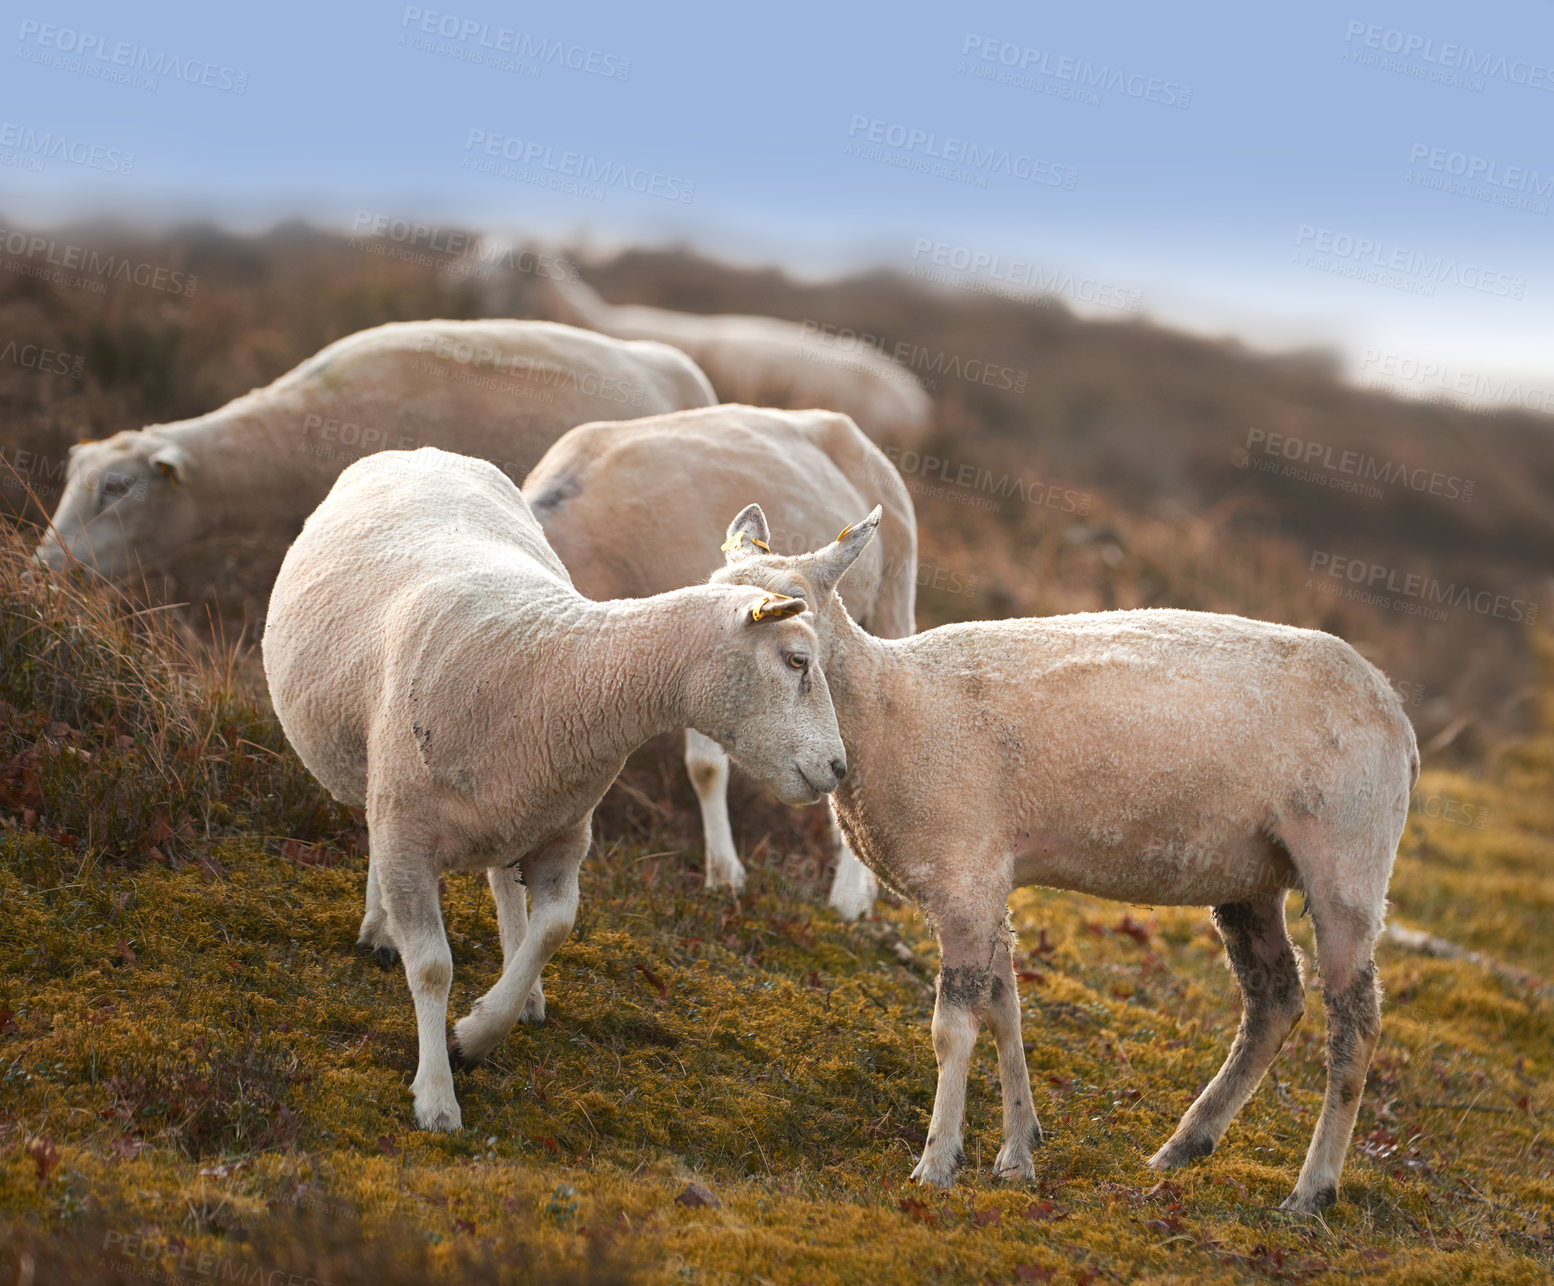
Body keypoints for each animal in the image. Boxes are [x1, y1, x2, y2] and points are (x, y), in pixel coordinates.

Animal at [264, 447, 851, 1130]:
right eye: (797, 660)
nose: (839, 768)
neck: (562, 670)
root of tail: (423, 452)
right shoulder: (406, 831)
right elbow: (432, 967)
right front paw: (436, 1095)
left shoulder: (564, 837)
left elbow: (554, 929)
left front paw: (477, 1034)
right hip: (395, 783)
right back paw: (382, 930)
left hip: (515, 808)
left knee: (501, 884)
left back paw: (512, 990)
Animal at [714, 506, 1423, 1217]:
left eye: (798, 627)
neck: (891, 706)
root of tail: (1399, 719)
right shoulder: (987, 876)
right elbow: (1004, 1009)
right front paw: (1017, 1153)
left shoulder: (964, 875)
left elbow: (954, 1028)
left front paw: (938, 1163)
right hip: (1251, 875)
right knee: (1274, 1002)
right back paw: (1183, 1147)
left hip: (1347, 857)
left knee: (1355, 1025)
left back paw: (1311, 1190)